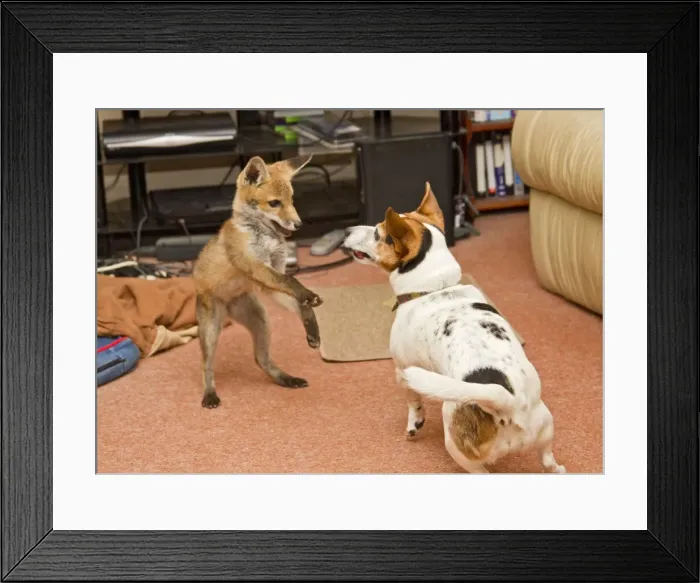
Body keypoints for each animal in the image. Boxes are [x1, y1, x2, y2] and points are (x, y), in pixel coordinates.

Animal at [192, 154, 323, 409]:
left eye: (291, 200)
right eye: (274, 203)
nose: (299, 224)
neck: (266, 238)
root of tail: (228, 309)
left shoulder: (270, 279)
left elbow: (297, 297)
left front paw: (311, 327)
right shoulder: (256, 266)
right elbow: (291, 279)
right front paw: (309, 296)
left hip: (262, 321)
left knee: (261, 360)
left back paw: (286, 379)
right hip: (211, 332)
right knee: (206, 367)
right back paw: (209, 394)